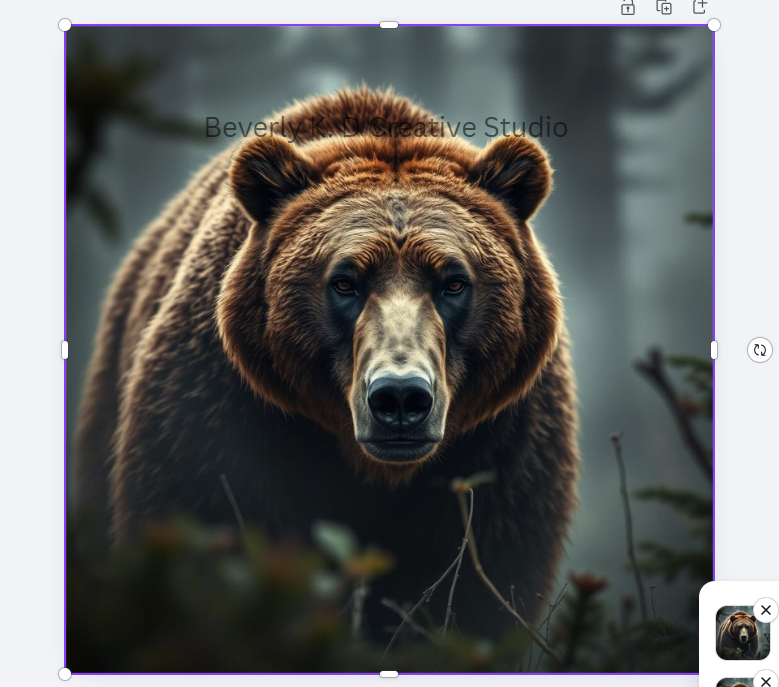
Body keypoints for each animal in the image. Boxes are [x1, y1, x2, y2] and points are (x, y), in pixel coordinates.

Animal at [75, 86, 580, 642]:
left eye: (453, 281)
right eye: (344, 281)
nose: (399, 397)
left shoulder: (499, 445)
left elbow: (478, 587)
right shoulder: (219, 412)